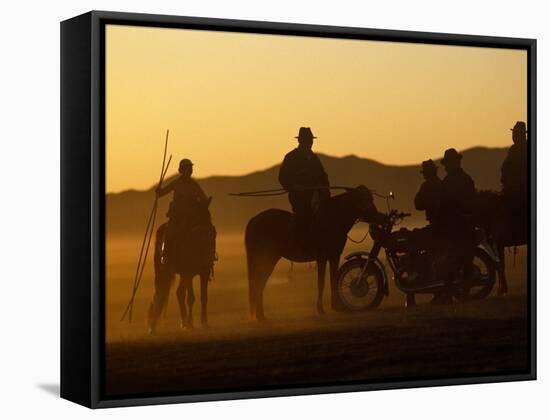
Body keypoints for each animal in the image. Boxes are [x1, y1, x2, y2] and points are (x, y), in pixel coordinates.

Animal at [148, 200, 217, 334]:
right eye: (198, 215)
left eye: (209, 216)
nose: (206, 231)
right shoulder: (189, 272)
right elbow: (190, 297)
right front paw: (191, 322)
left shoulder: (203, 272)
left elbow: (202, 297)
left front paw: (203, 322)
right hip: (168, 271)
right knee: (173, 292)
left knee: (170, 292)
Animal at [247, 185, 384, 320]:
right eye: (363, 200)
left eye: (371, 198)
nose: (380, 217)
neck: (333, 220)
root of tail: (254, 220)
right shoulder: (321, 258)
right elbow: (321, 283)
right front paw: (320, 309)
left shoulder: (334, 256)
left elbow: (333, 279)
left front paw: (336, 307)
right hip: (266, 259)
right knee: (258, 283)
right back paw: (260, 316)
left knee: (259, 283)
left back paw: (260, 315)